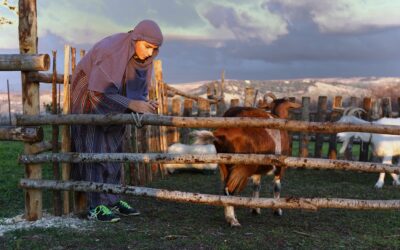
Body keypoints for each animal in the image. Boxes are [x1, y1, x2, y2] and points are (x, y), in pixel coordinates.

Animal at [195, 94, 302, 227]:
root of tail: (221, 134)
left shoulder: (257, 169)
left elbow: (256, 186)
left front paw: (255, 208)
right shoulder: (280, 166)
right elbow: (277, 187)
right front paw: (277, 210)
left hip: (225, 164)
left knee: (225, 188)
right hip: (241, 168)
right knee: (230, 189)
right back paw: (232, 220)